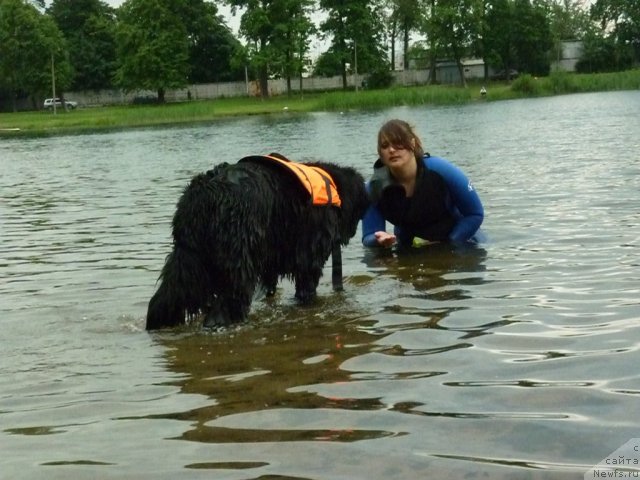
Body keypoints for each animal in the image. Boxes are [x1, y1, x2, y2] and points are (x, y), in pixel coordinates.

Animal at [144, 154, 364, 330]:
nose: (353, 232)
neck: (331, 185)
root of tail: (206, 191)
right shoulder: (309, 255)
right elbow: (306, 285)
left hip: (187, 258)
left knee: (165, 298)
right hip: (237, 260)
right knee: (229, 302)